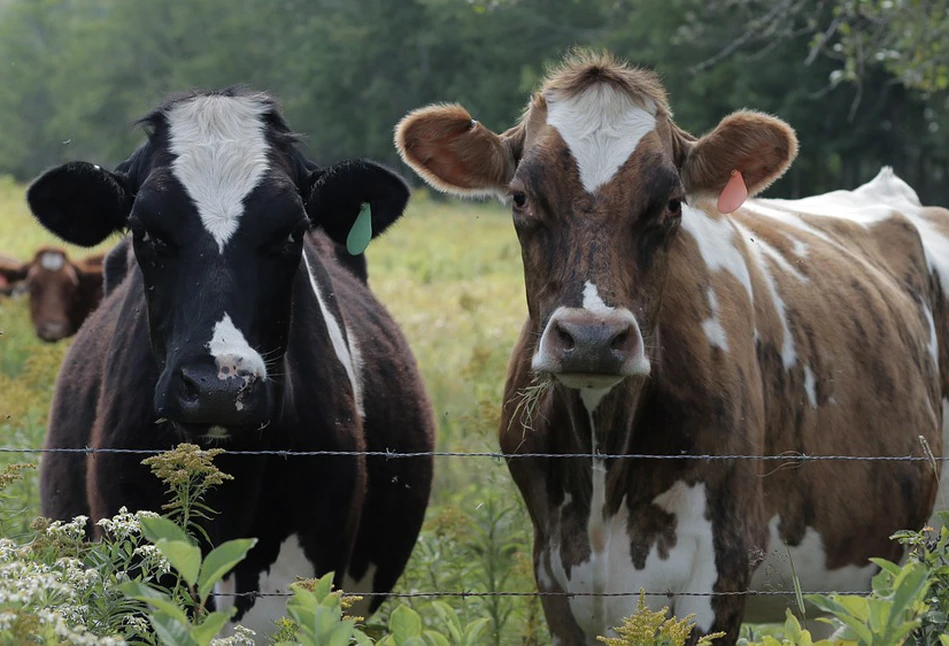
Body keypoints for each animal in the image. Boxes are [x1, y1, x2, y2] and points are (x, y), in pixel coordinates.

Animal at [392, 52, 948, 646]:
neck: (603, 466)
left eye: (672, 204)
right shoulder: (554, 577)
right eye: (520, 198)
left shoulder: (719, 571)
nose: (592, 338)